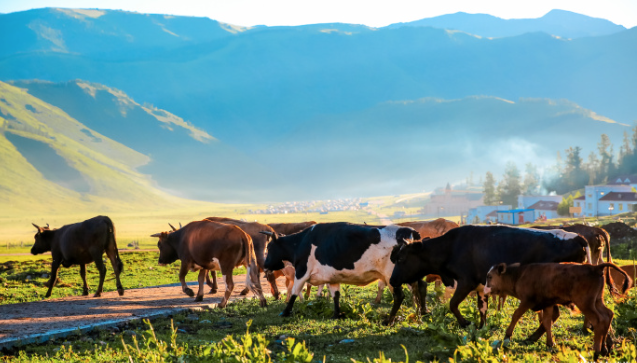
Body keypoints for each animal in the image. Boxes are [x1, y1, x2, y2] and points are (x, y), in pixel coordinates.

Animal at [260, 223, 420, 320]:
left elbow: (294, 291)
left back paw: (389, 320)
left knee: (399, 296)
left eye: (269, 248)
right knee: (417, 289)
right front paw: (337, 314)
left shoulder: (302, 272)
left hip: (392, 276)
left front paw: (285, 312)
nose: (265, 264)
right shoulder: (332, 277)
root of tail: (409, 231)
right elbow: (335, 295)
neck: (300, 243)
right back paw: (419, 312)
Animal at [388, 226, 592, 328]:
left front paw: (465, 323)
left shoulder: (466, 282)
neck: (451, 247)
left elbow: (452, 304)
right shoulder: (480, 285)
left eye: (401, 258)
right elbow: (482, 309)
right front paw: (481, 327)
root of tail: (577, 236)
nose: (391, 280)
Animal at [484, 262, 628, 362]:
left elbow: (516, 315)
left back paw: (597, 351)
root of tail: (595, 267)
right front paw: (550, 343)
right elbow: (547, 322)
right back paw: (604, 349)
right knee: (608, 315)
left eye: (489, 276)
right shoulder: (548, 304)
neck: (519, 275)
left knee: (599, 320)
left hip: (585, 304)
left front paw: (507, 336)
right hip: (597, 301)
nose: (485, 290)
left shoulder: (527, 301)